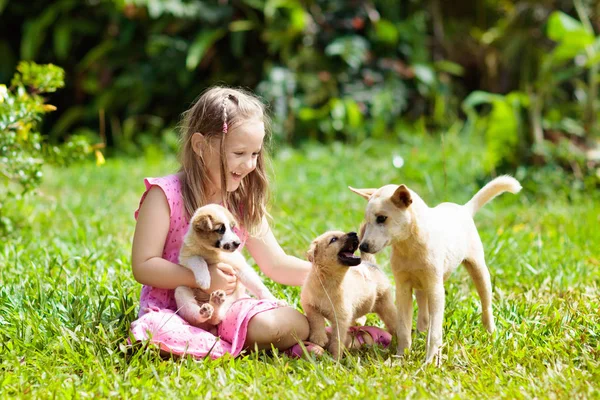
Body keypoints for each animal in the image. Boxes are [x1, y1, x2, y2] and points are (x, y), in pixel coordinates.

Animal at [300, 231, 398, 360]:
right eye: (333, 239)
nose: (354, 233)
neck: (329, 284)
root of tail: (370, 263)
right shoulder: (309, 304)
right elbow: (316, 319)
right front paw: (319, 338)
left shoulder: (341, 319)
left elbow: (337, 340)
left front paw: (335, 359)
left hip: (386, 307)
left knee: (394, 323)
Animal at [350, 176, 524, 366]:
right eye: (367, 220)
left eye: (382, 218)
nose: (362, 246)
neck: (409, 246)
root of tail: (463, 209)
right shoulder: (403, 289)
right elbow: (403, 327)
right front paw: (401, 357)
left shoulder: (436, 289)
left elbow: (435, 332)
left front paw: (431, 361)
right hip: (421, 287)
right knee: (423, 315)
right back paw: (420, 334)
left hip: (478, 270)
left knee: (486, 305)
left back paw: (490, 333)